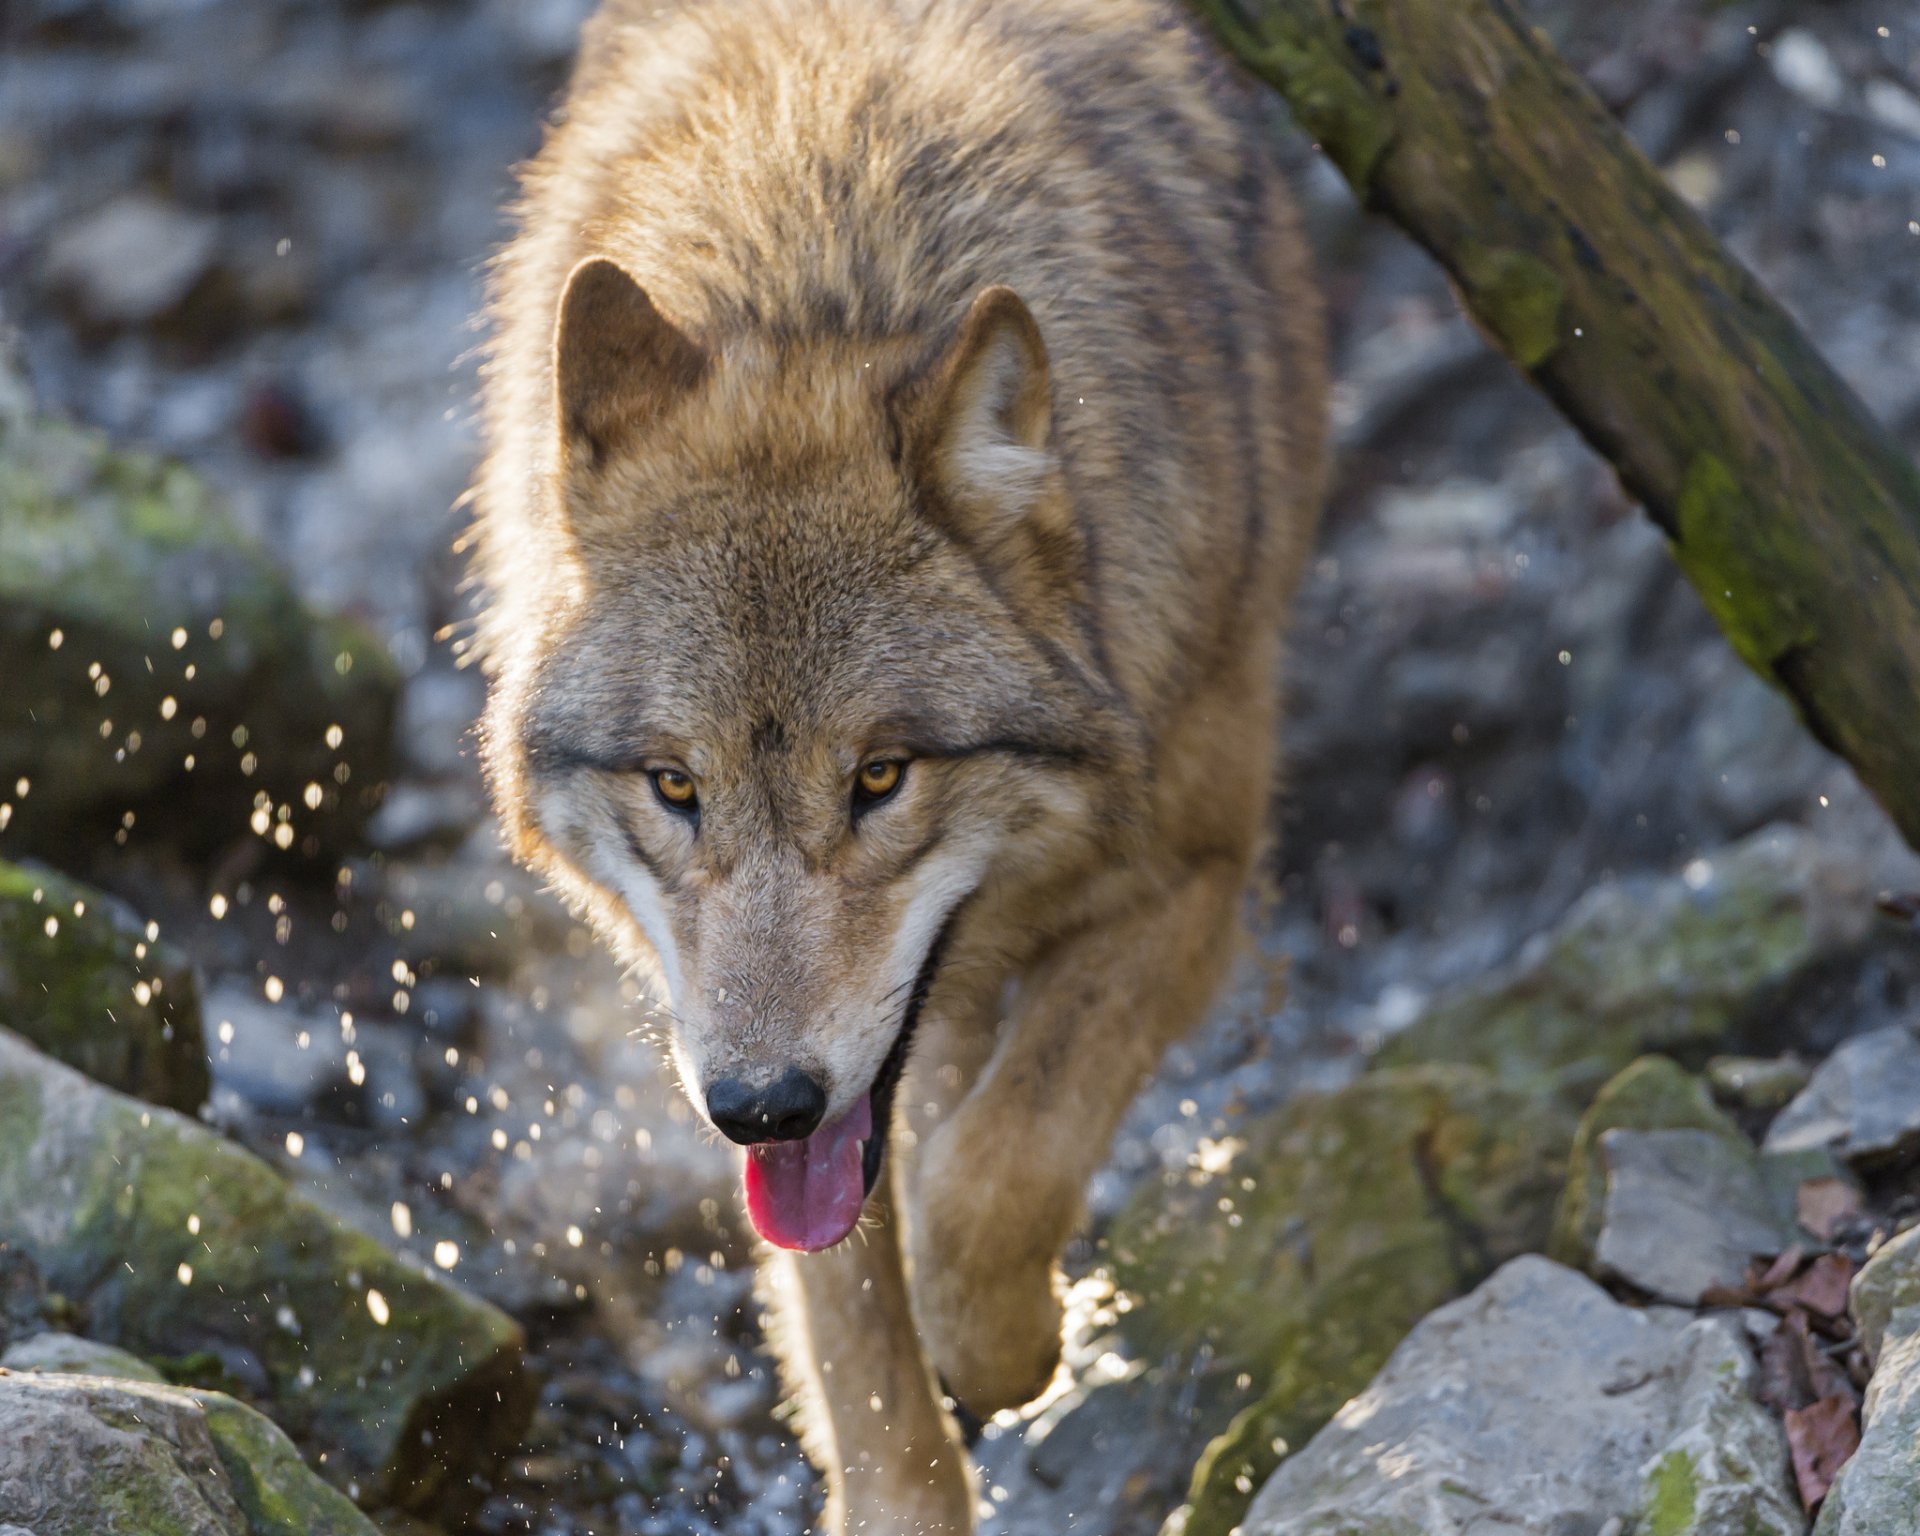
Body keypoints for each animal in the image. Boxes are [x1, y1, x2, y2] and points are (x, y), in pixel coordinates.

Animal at [473, 0, 1325, 1527]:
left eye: (881, 778)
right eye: (675, 787)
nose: (759, 1105)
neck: (822, 278)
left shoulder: (1198, 879)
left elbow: (995, 1174)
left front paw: (1014, 1344)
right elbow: (855, 1326)